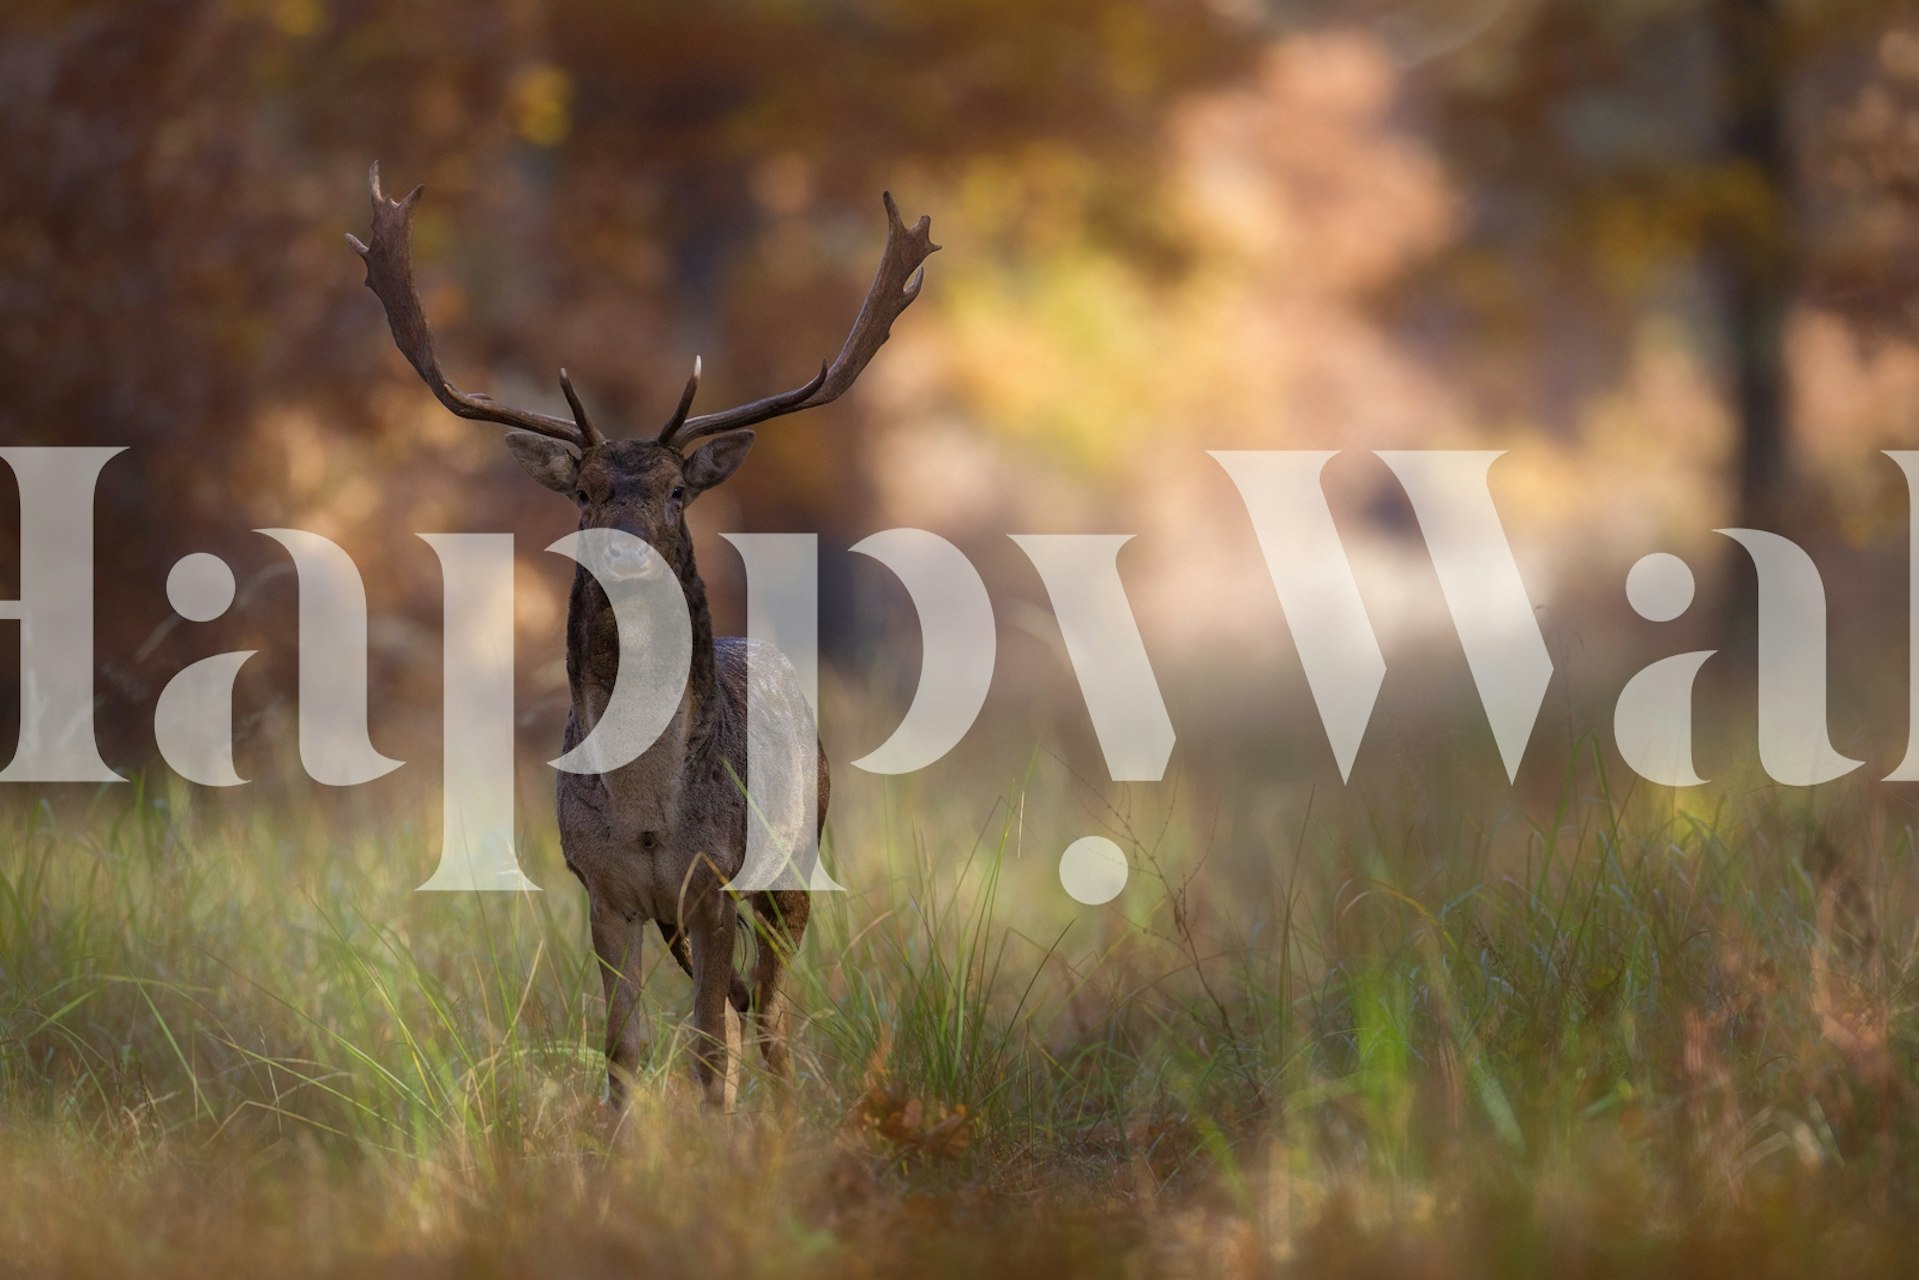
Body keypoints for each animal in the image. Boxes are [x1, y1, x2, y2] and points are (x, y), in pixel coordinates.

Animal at [347, 164, 937, 1109]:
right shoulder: (602, 889)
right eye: (585, 490)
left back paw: (783, 1115)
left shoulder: (716, 880)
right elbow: (622, 1046)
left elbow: (709, 1049)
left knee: (770, 1019)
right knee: (748, 1010)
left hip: (798, 860)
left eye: (674, 491)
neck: (648, 816)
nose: (623, 548)